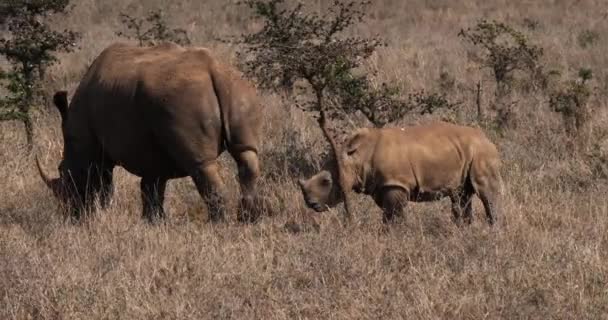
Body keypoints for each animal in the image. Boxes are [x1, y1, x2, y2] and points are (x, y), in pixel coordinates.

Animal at [36, 42, 264, 222]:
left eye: (64, 174)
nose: (71, 215)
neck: (74, 134)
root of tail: (214, 69)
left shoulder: (100, 150)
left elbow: (108, 184)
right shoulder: (151, 151)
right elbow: (151, 186)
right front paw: (153, 221)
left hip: (185, 100)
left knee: (201, 164)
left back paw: (218, 223)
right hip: (238, 88)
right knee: (246, 154)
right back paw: (249, 218)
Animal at [300, 121, 504, 224]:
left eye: (326, 181)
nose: (310, 204)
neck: (358, 155)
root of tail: (486, 137)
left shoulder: (395, 183)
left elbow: (393, 215)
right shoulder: (382, 185)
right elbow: (389, 214)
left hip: (481, 152)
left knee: (485, 193)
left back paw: (493, 229)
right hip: (463, 153)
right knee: (461, 194)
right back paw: (463, 229)